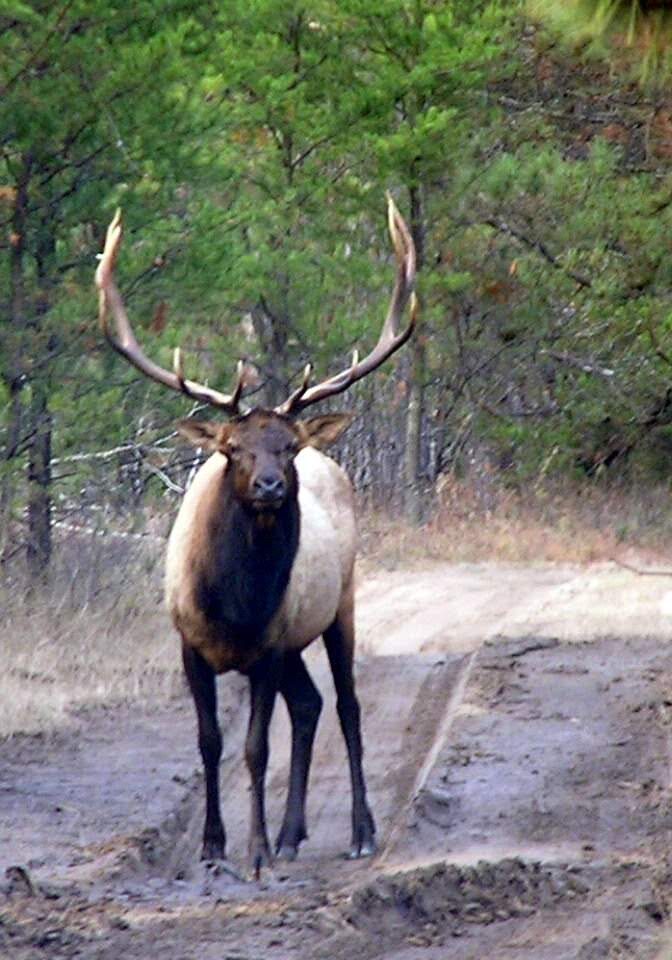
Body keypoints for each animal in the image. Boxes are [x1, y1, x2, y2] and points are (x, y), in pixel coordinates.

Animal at [94, 197, 414, 876]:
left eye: (286, 445)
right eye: (232, 448)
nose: (269, 485)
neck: (234, 606)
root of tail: (333, 461)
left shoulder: (266, 646)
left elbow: (255, 749)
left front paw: (256, 850)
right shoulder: (190, 645)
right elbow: (210, 742)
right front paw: (214, 846)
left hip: (340, 604)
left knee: (345, 705)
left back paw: (358, 830)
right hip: (296, 638)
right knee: (310, 704)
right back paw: (296, 833)